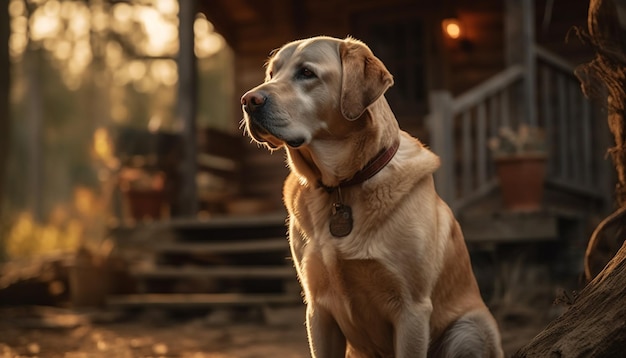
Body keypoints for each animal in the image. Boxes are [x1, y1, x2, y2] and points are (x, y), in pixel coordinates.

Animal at [239, 35, 502, 356]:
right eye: (272, 74)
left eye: (306, 73)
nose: (248, 100)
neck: (342, 186)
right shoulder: (318, 310)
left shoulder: (412, 310)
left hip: (469, 329)